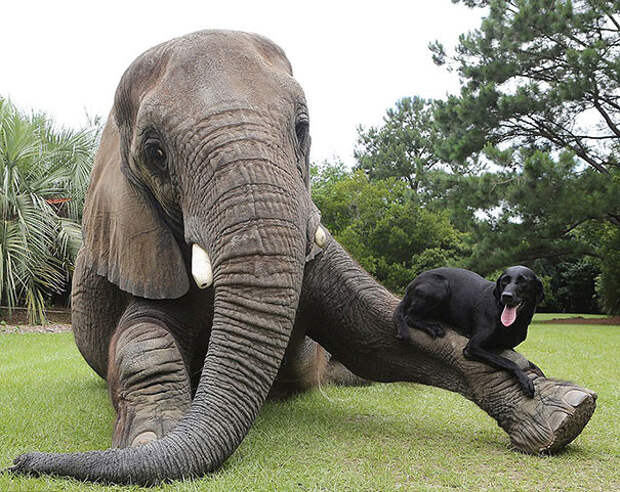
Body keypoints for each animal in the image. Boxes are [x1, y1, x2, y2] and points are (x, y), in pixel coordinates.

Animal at [398, 268, 544, 398]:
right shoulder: (472, 347)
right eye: (505, 280)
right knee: (409, 317)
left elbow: (529, 362)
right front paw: (525, 380)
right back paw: (433, 328)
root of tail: (410, 286)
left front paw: (538, 370)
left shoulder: (508, 347)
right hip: (441, 286)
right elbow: (508, 362)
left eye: (522, 281)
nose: (506, 296)